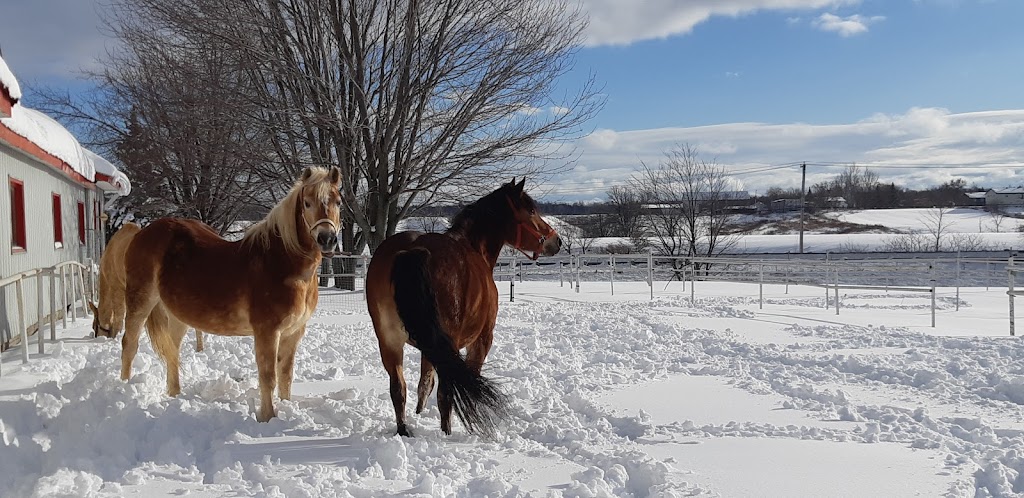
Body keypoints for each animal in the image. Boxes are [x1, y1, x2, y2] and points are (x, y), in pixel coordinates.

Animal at [118, 166, 344, 420]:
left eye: (338, 201)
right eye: (307, 203)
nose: (327, 239)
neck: (281, 263)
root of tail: (141, 234)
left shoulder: (293, 332)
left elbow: (286, 376)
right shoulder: (267, 331)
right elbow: (268, 377)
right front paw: (268, 418)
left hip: (176, 315)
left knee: (172, 351)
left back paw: (174, 395)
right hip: (140, 300)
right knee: (130, 345)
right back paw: (124, 388)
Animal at [366, 178, 561, 436]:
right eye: (530, 211)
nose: (556, 241)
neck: (473, 246)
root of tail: (412, 250)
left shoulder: (430, 346)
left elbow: (424, 382)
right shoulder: (481, 340)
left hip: (390, 342)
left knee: (399, 388)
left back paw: (404, 430)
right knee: (445, 394)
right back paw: (446, 433)